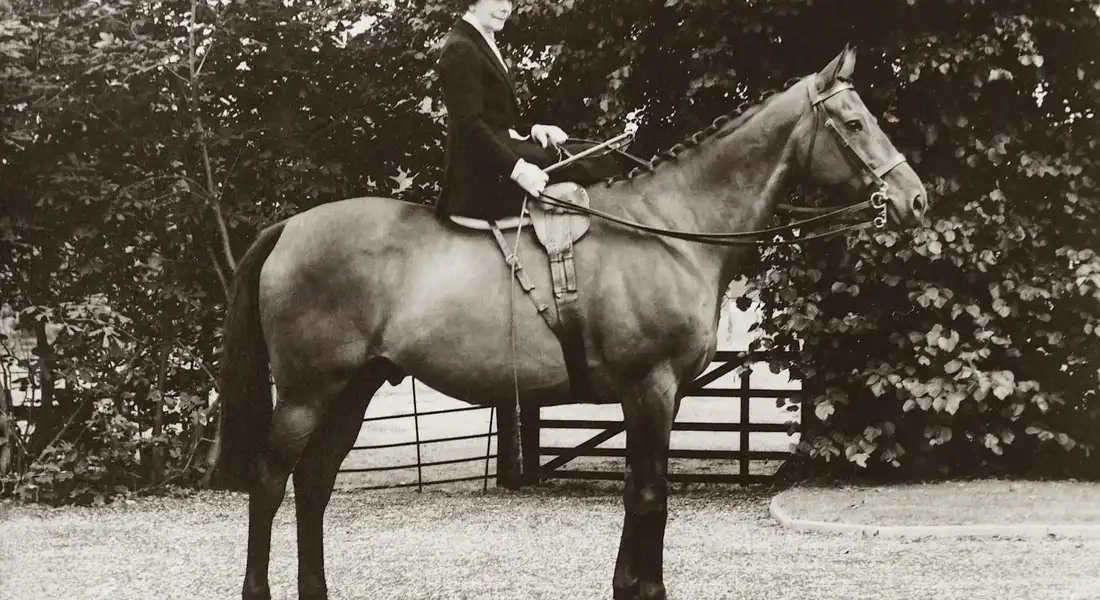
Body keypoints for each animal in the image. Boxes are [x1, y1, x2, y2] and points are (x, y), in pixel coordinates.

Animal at [214, 45, 928, 600]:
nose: (915, 200)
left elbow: (640, 494)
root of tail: (288, 228)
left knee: (314, 483)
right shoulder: (650, 389)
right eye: (854, 122)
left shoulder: (658, 397)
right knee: (271, 484)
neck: (669, 229)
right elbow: (650, 496)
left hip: (355, 388)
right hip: (307, 393)